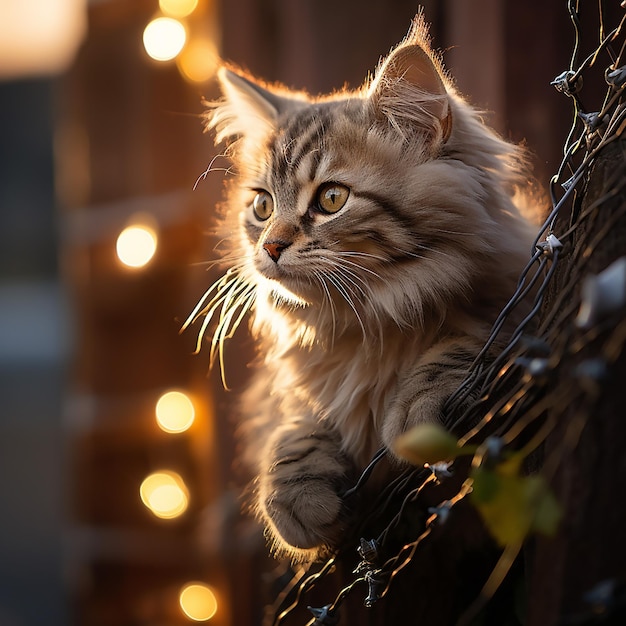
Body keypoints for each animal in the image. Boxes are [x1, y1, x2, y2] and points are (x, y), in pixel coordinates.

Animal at [188, 14, 532, 560]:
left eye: (331, 199)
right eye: (262, 207)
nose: (270, 246)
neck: (366, 326)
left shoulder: (518, 294)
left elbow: (474, 335)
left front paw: (416, 410)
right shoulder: (289, 390)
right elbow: (294, 427)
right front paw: (295, 491)